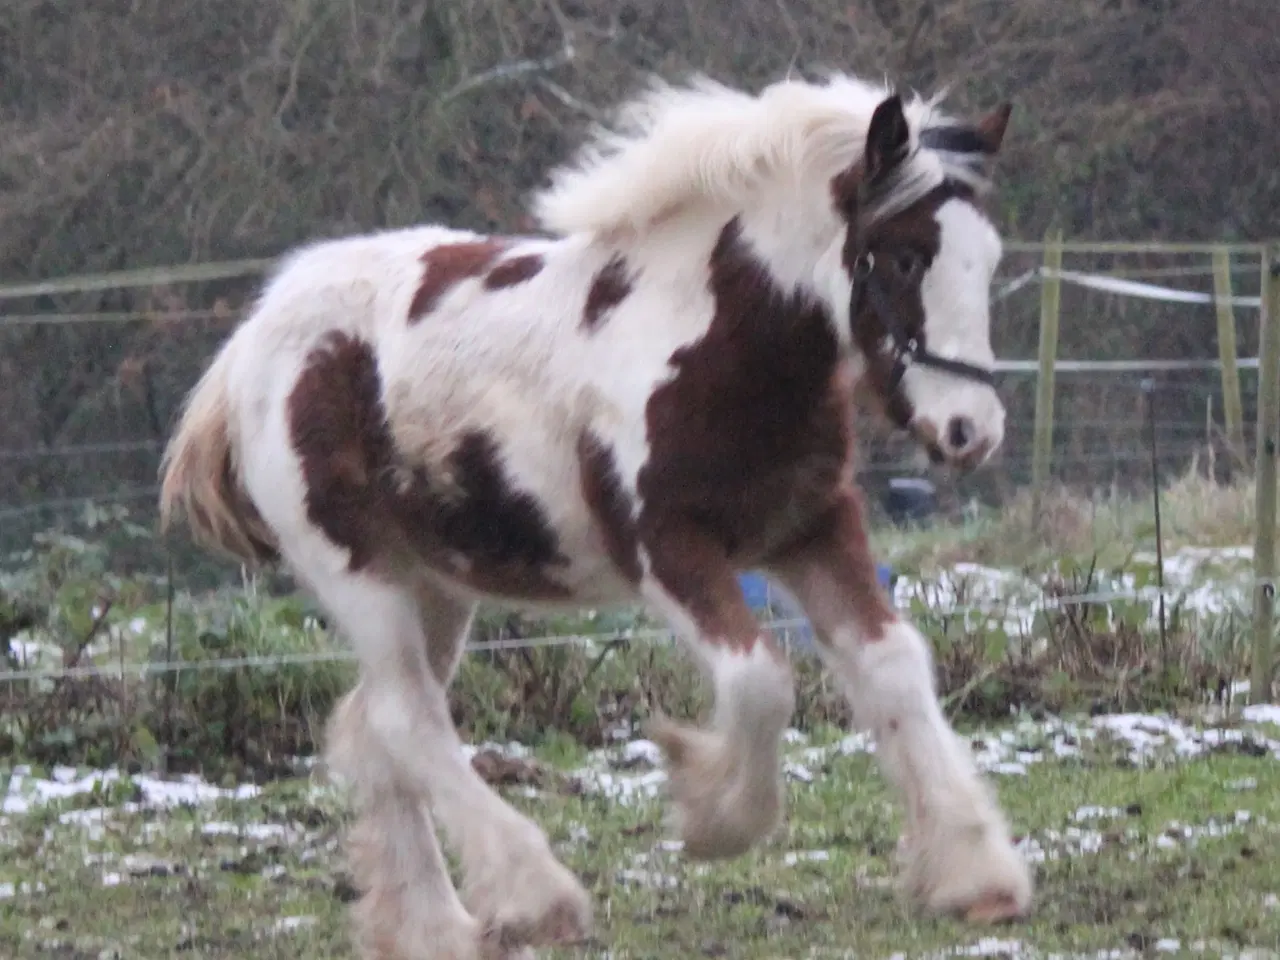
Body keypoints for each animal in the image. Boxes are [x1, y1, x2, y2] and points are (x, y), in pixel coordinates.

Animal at [160, 69, 1034, 960]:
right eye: (906, 256)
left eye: (989, 259)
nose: (971, 431)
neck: (714, 344)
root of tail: (253, 340)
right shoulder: (667, 548)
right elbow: (758, 682)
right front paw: (713, 812)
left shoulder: (813, 527)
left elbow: (892, 666)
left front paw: (976, 875)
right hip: (358, 573)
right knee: (408, 720)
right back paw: (534, 897)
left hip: (433, 584)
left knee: (375, 725)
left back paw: (432, 926)